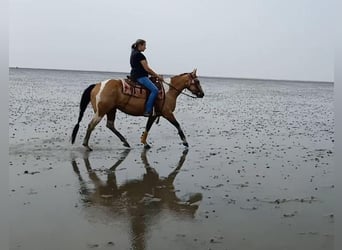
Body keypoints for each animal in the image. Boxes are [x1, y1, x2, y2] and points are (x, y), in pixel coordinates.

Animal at [70, 68, 203, 150]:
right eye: (197, 81)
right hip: (101, 111)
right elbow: (177, 125)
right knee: (91, 125)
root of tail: (97, 85)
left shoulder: (154, 114)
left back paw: (125, 142)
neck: (168, 91)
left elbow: (148, 127)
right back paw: (86, 145)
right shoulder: (167, 113)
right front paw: (185, 141)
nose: (202, 94)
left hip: (111, 110)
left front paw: (145, 143)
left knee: (110, 125)